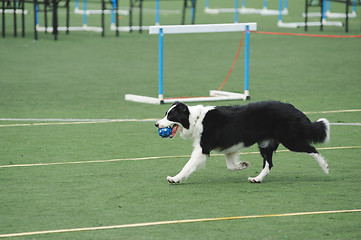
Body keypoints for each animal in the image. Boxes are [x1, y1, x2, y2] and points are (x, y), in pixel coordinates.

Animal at [155, 101, 330, 184]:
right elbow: (231, 166)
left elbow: (188, 165)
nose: (156, 124)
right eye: (165, 114)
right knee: (268, 164)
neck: (195, 119)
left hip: (291, 139)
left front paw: (175, 178)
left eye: (170, 116)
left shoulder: (202, 149)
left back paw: (325, 167)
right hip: (265, 144)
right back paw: (257, 179)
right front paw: (244, 165)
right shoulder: (229, 147)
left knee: (312, 149)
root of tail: (294, 108)